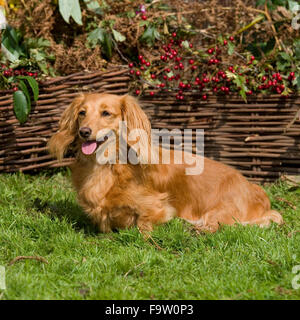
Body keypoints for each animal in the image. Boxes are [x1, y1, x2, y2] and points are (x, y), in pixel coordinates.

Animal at [47, 92, 284, 232]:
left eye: (106, 113)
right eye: (82, 113)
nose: (84, 132)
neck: (107, 166)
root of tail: (256, 191)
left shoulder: (159, 207)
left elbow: (143, 225)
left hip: (219, 211)